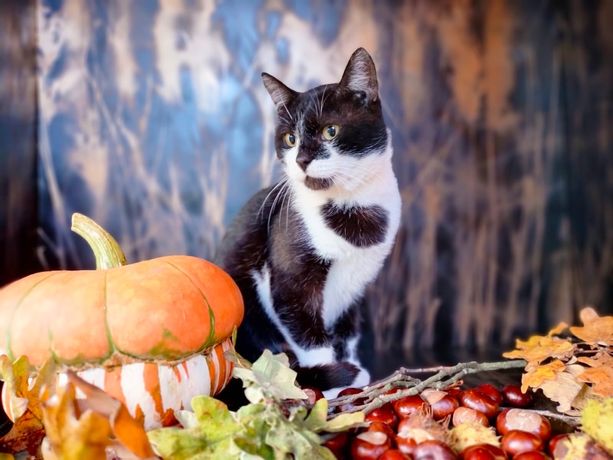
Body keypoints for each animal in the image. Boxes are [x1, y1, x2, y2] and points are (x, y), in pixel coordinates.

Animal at [215, 47, 402, 398]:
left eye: (331, 131)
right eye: (290, 139)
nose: (302, 159)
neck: (352, 207)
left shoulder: (356, 288)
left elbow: (348, 335)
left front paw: (349, 369)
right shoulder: (290, 278)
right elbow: (310, 337)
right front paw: (331, 384)